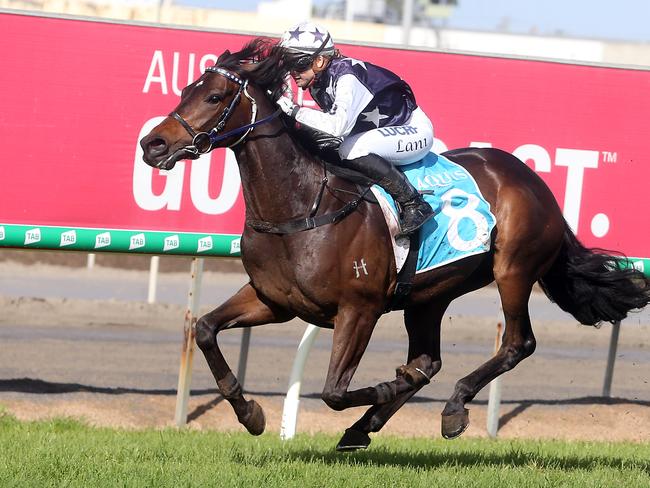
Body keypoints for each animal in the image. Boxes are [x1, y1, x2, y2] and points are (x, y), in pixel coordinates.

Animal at [139, 41, 644, 450]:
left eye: (214, 96)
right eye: (184, 90)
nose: (153, 144)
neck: (301, 205)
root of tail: (533, 182)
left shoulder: (359, 309)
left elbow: (334, 391)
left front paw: (379, 392)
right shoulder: (273, 300)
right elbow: (205, 328)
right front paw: (250, 414)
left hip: (513, 270)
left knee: (517, 343)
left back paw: (451, 408)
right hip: (430, 294)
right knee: (427, 362)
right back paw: (370, 424)